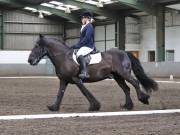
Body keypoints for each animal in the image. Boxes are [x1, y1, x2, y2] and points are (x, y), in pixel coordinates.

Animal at [27, 35, 158, 112]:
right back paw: (128, 106)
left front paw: (94, 106)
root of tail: (124, 52)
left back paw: (143, 99)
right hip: (118, 77)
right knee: (126, 88)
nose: (30, 60)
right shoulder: (64, 80)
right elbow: (60, 93)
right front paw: (53, 107)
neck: (64, 57)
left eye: (37, 46)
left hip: (124, 74)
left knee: (135, 83)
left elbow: (85, 92)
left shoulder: (77, 79)